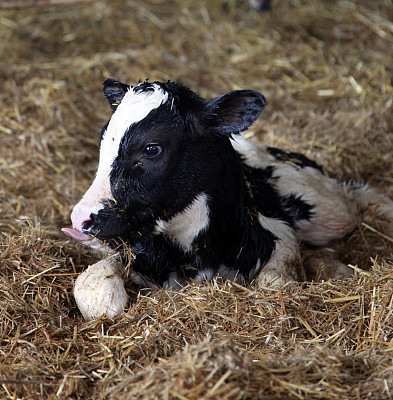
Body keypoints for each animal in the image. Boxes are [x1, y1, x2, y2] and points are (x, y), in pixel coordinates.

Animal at [62, 79, 392, 322]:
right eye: (103, 142)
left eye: (151, 149)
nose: (80, 218)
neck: (195, 254)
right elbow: (95, 293)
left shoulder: (278, 234)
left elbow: (276, 283)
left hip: (329, 212)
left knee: (355, 199)